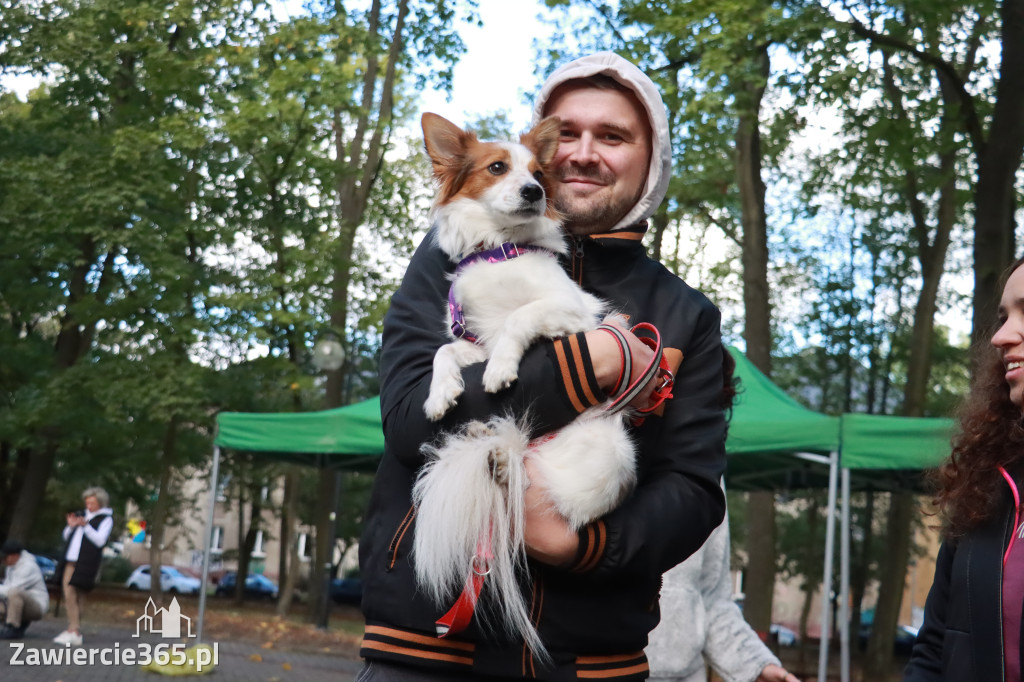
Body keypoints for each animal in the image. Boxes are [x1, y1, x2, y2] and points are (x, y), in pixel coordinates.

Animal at [409, 112, 634, 659]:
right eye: (497, 167)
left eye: (538, 173)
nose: (534, 191)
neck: (500, 249)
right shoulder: (475, 335)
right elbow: (446, 351)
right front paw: (441, 393)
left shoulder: (573, 311)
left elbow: (521, 317)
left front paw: (500, 372)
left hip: (608, 454)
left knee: (535, 484)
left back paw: (506, 465)